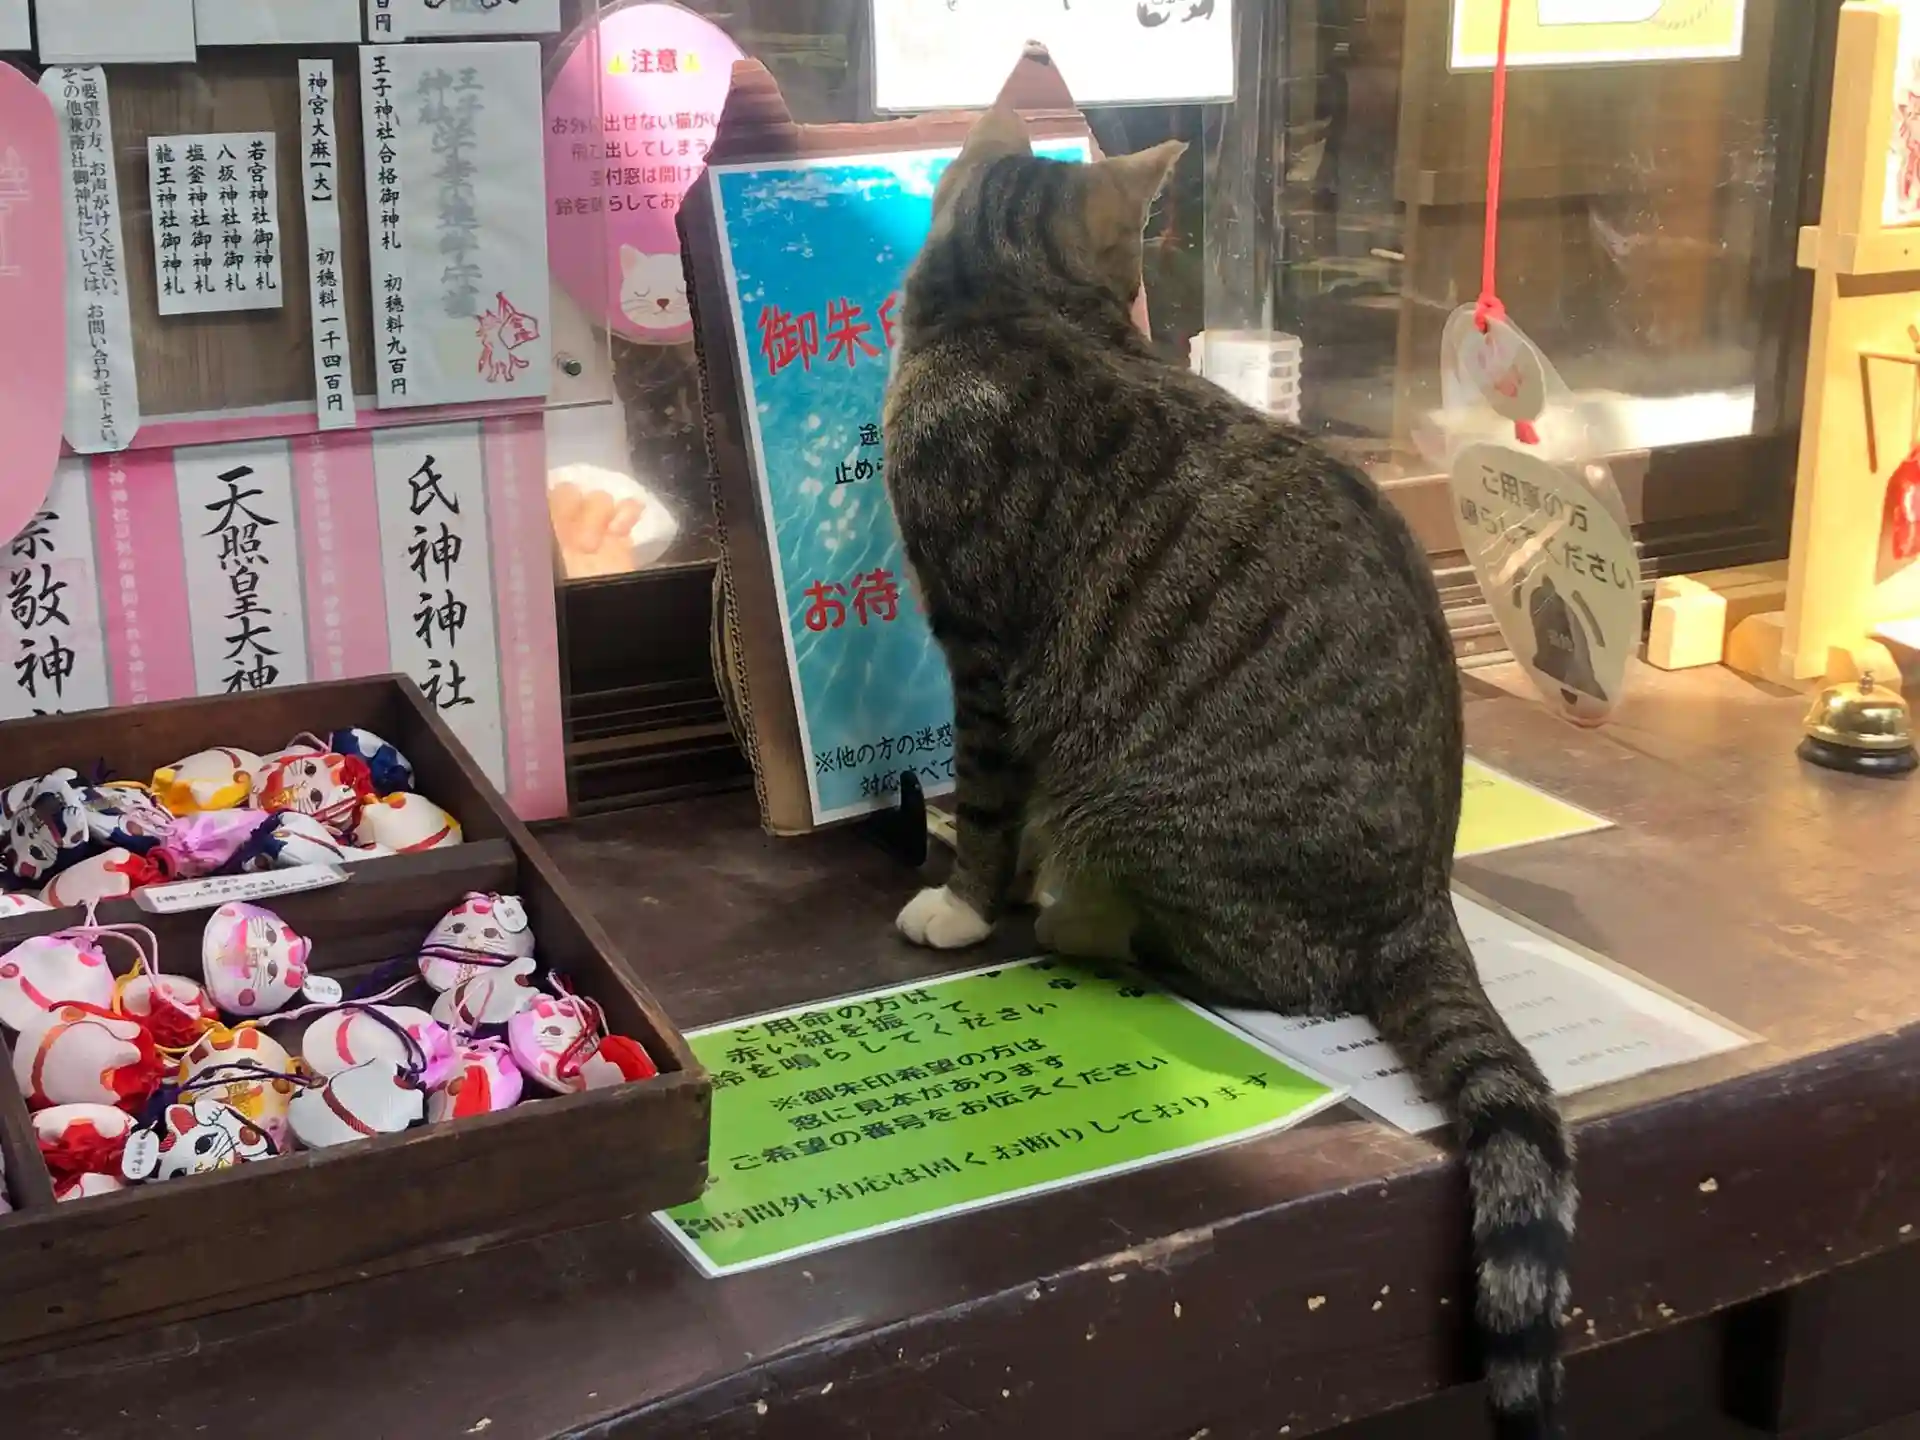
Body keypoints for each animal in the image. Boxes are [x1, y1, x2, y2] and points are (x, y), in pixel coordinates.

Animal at [883, 103, 1575, 1440]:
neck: (1015, 303)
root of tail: (1425, 899)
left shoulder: (982, 650)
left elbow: (990, 808)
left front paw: (965, 900)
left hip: (1149, 811)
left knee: (1263, 970)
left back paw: (1081, 922)